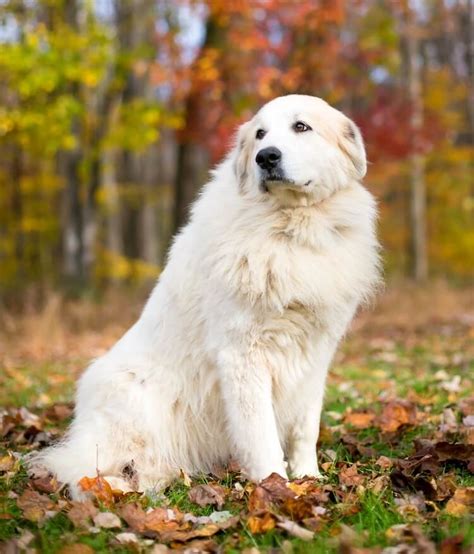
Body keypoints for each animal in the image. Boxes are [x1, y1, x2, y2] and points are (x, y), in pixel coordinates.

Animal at [33, 94, 382, 496]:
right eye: (260, 134)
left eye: (301, 127)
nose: (266, 157)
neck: (291, 228)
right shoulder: (243, 355)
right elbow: (260, 433)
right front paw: (273, 485)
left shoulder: (315, 354)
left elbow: (305, 427)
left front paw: (308, 478)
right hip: (135, 398)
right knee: (86, 469)